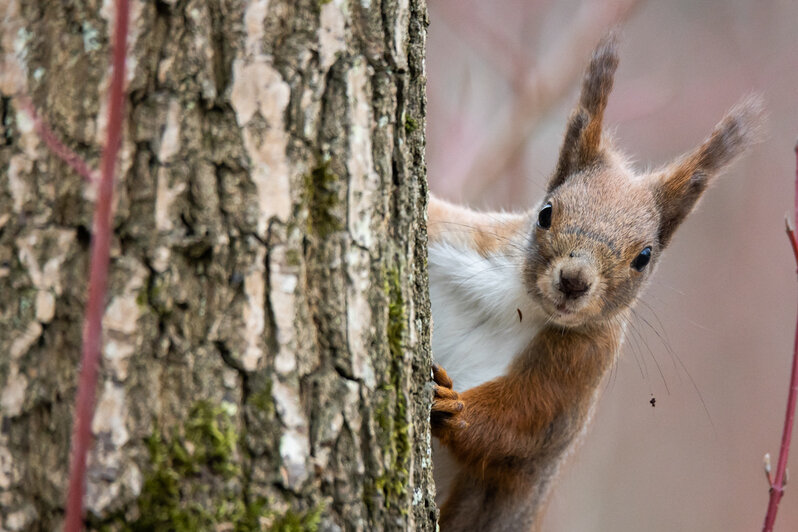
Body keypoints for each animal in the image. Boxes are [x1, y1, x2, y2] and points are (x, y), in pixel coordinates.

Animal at [428, 35, 764, 528]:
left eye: (644, 257)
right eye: (546, 212)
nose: (574, 280)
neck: (516, 303)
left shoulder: (583, 363)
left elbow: (523, 427)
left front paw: (456, 408)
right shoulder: (452, 238)